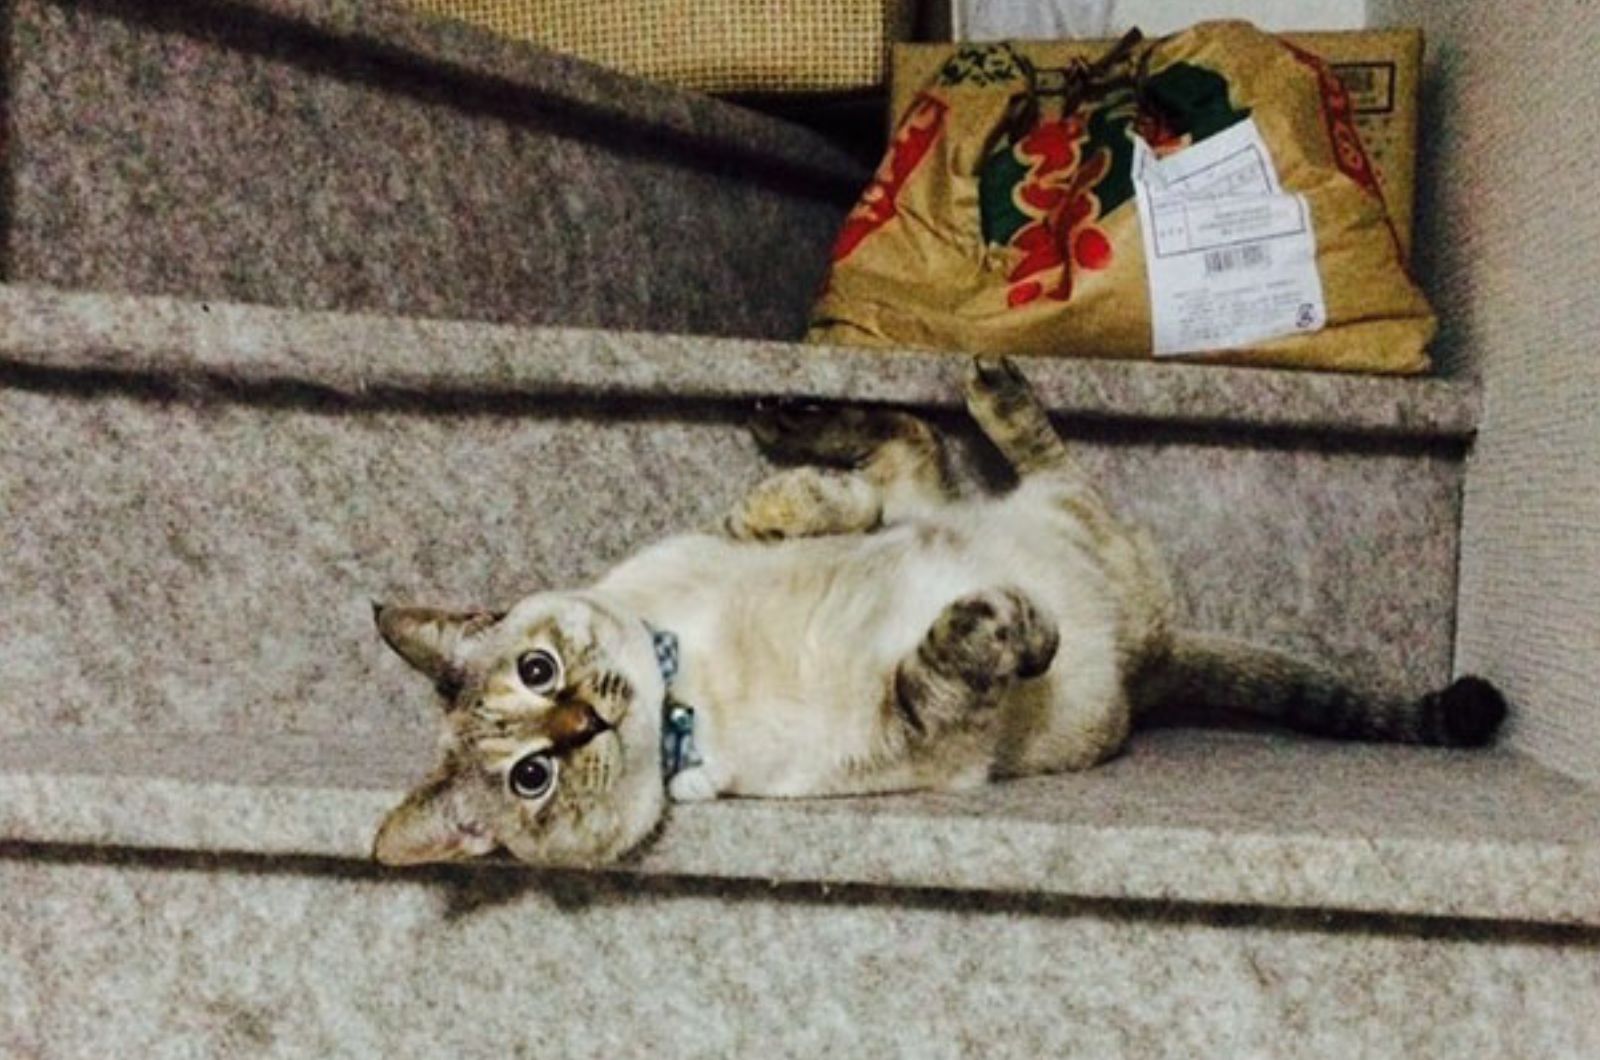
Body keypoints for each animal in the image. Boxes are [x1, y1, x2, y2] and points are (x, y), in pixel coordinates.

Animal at [368, 357, 1504, 871]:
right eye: (532, 774)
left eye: (539, 670)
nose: (588, 719)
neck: (686, 678)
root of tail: (1156, 651)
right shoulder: (913, 731)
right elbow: (961, 643)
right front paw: (1019, 628)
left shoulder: (734, 544)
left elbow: (801, 512)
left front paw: (787, 497)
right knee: (980, 463)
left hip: (1001, 502)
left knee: (930, 442)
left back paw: (847, 402)